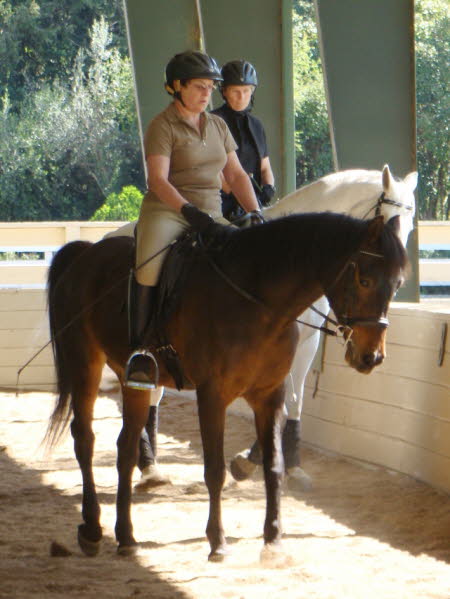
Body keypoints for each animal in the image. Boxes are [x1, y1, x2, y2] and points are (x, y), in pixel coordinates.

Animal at [45, 212, 408, 564]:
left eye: (397, 284)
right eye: (364, 280)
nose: (371, 356)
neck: (258, 302)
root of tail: (84, 253)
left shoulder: (270, 396)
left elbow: (273, 467)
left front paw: (273, 542)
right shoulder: (212, 396)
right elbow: (215, 470)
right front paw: (218, 543)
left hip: (132, 376)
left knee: (125, 447)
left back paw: (126, 539)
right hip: (84, 361)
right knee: (85, 439)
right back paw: (92, 529)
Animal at [104, 165, 418, 492]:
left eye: (410, 225)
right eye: (389, 218)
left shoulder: (306, 344)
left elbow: (294, 402)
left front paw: (290, 465)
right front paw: (247, 461)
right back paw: (148, 467)